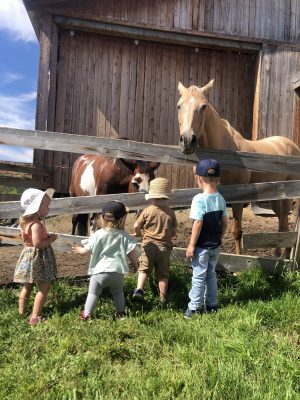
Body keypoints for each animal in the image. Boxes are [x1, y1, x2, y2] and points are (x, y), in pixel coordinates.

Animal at [177, 79, 298, 258]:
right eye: (179, 106)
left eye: (203, 106)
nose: (187, 140)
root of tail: (291, 145)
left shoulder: (238, 199)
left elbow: (237, 231)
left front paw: (238, 259)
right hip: (276, 197)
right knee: (282, 224)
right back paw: (278, 255)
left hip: (287, 197)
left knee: (285, 225)